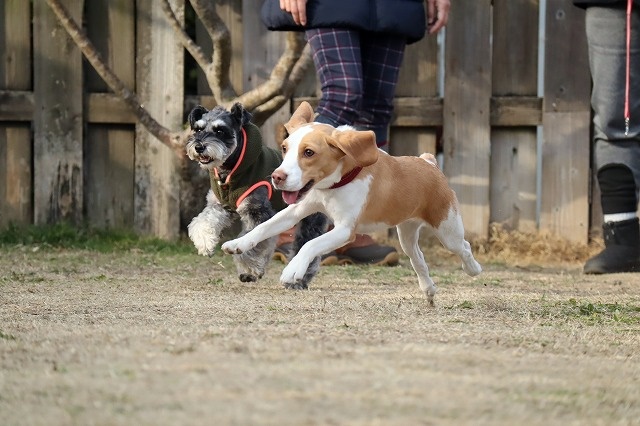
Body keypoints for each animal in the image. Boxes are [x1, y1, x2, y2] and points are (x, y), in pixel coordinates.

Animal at [186, 102, 327, 284]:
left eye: (220, 131)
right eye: (198, 129)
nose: (199, 147)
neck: (231, 170)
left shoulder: (257, 211)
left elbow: (251, 242)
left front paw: (250, 270)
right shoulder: (219, 206)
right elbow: (203, 221)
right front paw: (205, 243)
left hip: (310, 219)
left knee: (307, 244)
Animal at [222, 101, 482, 305]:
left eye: (308, 152)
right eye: (285, 149)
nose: (277, 177)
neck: (334, 185)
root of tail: (429, 163)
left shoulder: (345, 230)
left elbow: (310, 245)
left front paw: (293, 270)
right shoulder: (298, 210)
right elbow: (263, 227)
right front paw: (238, 243)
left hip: (447, 230)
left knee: (464, 247)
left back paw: (473, 269)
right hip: (406, 234)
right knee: (418, 259)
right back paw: (428, 290)